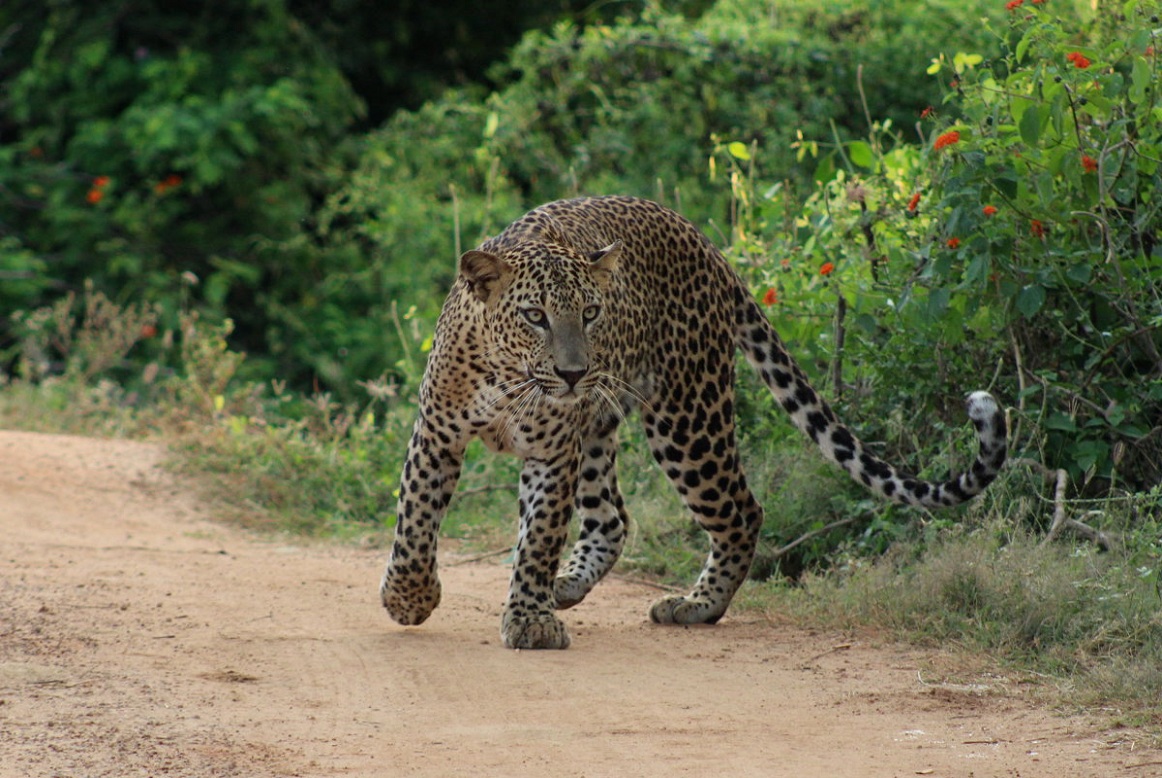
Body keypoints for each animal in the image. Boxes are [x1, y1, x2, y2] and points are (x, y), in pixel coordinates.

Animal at [381, 196, 1008, 650]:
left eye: (591, 313)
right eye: (534, 316)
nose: (574, 372)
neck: (510, 376)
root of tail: (706, 243)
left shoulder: (552, 451)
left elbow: (537, 538)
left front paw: (529, 618)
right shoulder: (437, 433)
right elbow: (415, 521)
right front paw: (409, 599)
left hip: (686, 417)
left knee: (741, 511)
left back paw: (697, 605)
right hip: (605, 428)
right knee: (612, 517)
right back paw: (571, 585)